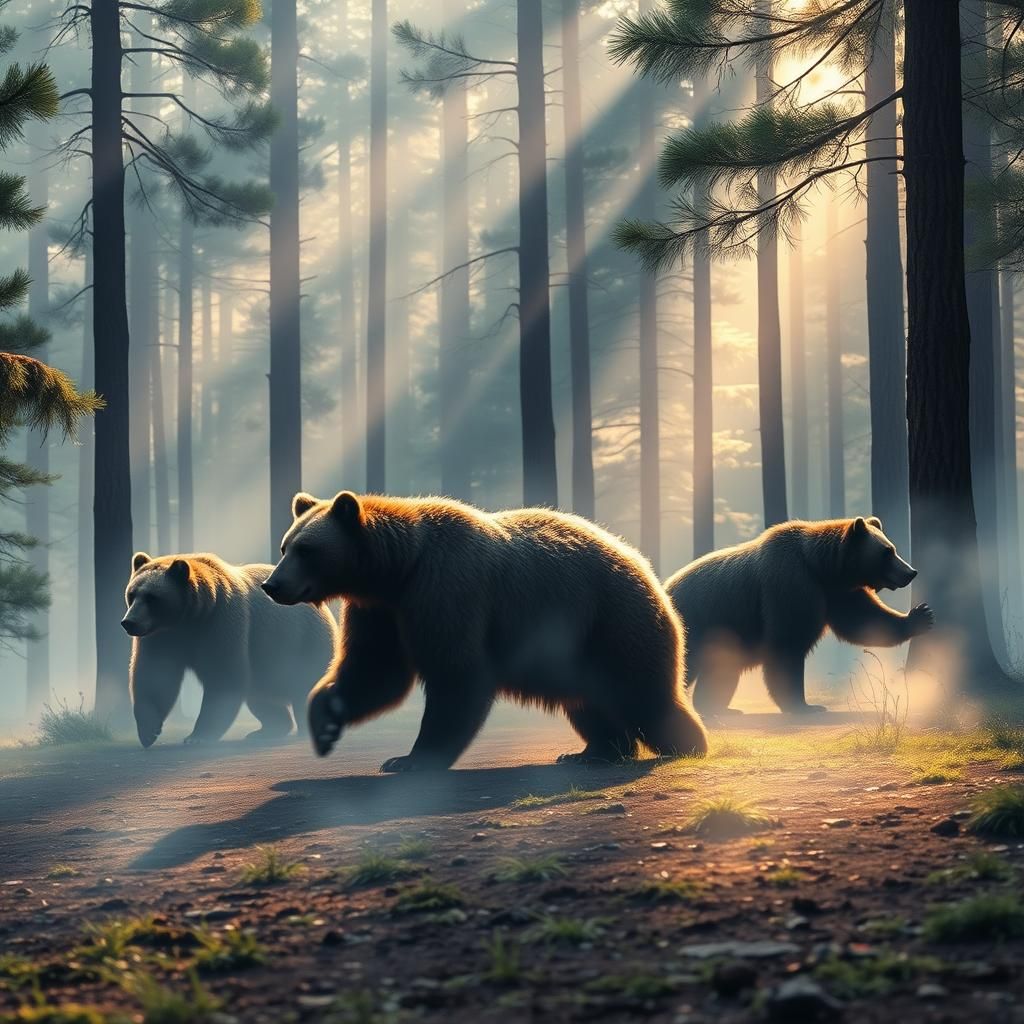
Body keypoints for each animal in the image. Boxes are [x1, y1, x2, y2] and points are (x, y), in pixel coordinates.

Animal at [122, 552, 337, 748]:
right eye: (132, 594)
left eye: (152, 598)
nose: (129, 622)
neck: (189, 619)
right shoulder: (162, 638)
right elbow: (155, 676)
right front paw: (148, 730)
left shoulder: (221, 621)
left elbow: (224, 676)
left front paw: (197, 736)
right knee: (261, 697)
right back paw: (267, 730)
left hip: (304, 641)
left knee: (306, 686)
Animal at [260, 491, 708, 771]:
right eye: (285, 546)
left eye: (306, 550)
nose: (272, 584)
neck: (398, 570)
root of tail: (646, 569)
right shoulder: (382, 611)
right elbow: (373, 670)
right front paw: (325, 724)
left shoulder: (447, 589)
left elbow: (456, 674)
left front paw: (411, 759)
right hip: (577, 649)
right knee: (588, 701)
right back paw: (594, 751)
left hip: (613, 620)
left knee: (644, 694)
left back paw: (686, 744)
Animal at [664, 516, 934, 716]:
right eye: (887, 552)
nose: (910, 572)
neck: (821, 567)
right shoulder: (791, 584)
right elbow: (788, 643)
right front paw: (805, 705)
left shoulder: (835, 593)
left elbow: (863, 621)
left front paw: (920, 616)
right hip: (695, 622)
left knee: (721, 671)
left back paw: (719, 708)